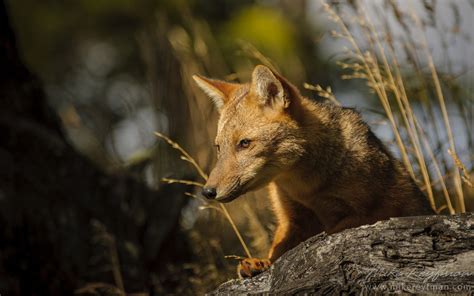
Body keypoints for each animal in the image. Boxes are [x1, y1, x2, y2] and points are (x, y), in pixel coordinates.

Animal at [192, 64, 434, 278]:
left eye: (244, 143)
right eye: (218, 147)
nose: (207, 192)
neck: (306, 190)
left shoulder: (377, 210)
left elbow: (333, 231)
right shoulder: (291, 220)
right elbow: (276, 251)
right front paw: (261, 262)